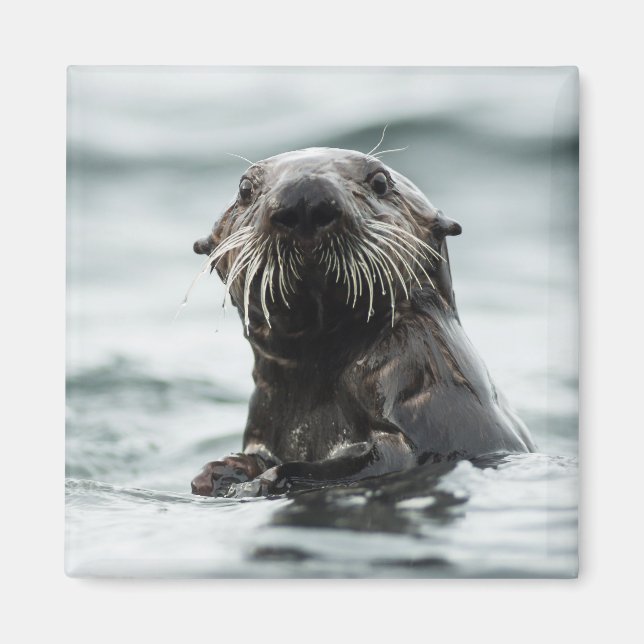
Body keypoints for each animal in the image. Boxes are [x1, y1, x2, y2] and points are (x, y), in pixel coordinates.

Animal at [190, 147, 535, 497]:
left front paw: (263, 480)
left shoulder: (421, 384)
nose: (304, 199)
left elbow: (382, 459)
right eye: (245, 189)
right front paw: (221, 472)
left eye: (380, 181)